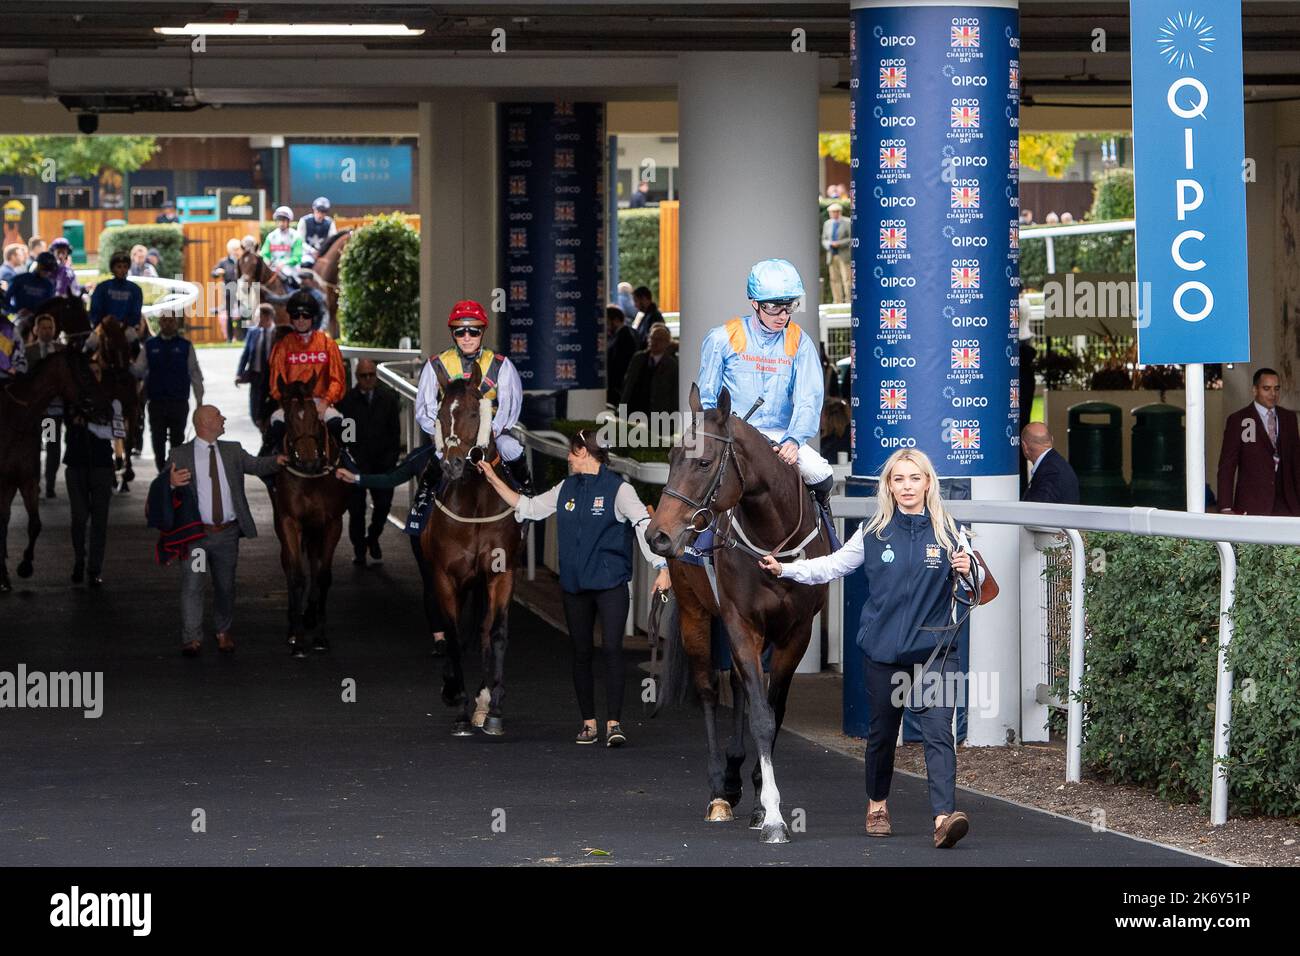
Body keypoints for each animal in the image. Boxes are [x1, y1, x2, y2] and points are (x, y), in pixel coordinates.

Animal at [0, 348, 109, 590]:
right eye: (85, 374)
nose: (106, 411)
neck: (15, 419)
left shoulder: (25, 480)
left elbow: (34, 524)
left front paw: (24, 566)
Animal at [270, 374, 351, 658]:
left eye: (316, 416)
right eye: (288, 418)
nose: (309, 463)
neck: (310, 477)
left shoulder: (332, 522)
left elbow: (323, 576)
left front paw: (320, 636)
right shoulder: (289, 520)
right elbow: (296, 575)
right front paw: (297, 639)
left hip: (316, 528)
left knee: (315, 566)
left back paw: (311, 614)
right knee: (287, 563)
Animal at [428, 361, 525, 738]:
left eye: (473, 412)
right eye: (440, 414)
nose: (453, 464)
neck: (476, 506)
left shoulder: (501, 573)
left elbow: (495, 633)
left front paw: (493, 707)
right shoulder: (445, 576)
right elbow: (454, 636)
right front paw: (458, 703)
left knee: (483, 630)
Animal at [642, 382, 832, 842]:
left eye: (704, 462)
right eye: (670, 457)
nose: (657, 535)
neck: (774, 539)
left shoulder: (796, 632)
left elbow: (773, 710)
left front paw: (764, 803)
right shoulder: (740, 622)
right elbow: (761, 716)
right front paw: (775, 815)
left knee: (741, 689)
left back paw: (736, 775)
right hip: (695, 613)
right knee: (710, 690)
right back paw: (719, 790)